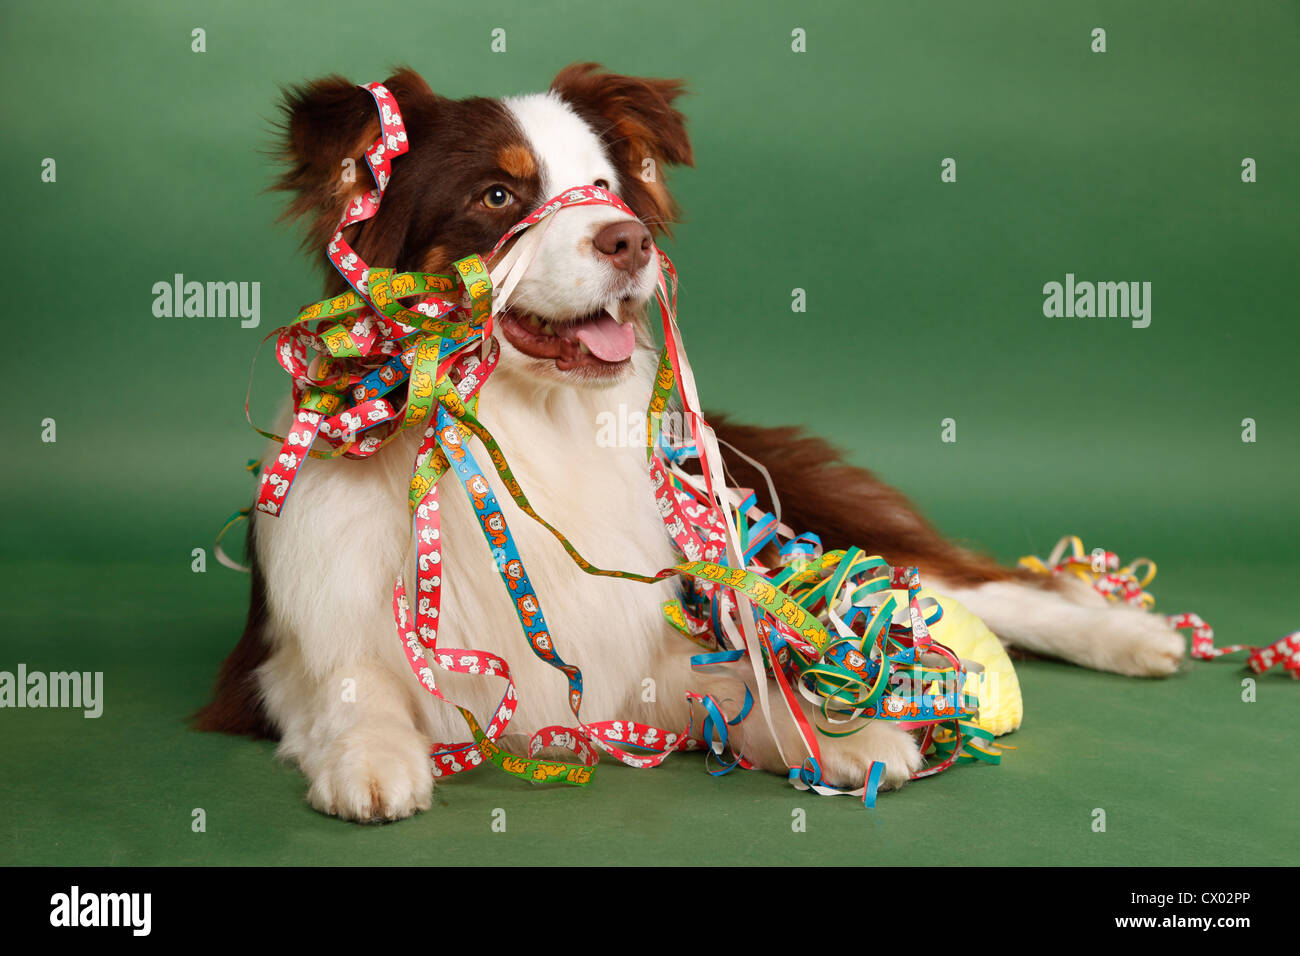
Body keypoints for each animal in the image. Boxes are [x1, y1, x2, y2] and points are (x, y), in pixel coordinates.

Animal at [195, 63, 1190, 822]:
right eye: (498, 194)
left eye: (607, 187)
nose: (629, 240)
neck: (528, 431)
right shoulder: (278, 659)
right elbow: (349, 688)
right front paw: (370, 758)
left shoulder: (647, 633)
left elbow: (738, 684)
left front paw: (846, 734)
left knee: (1001, 585)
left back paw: (1133, 636)